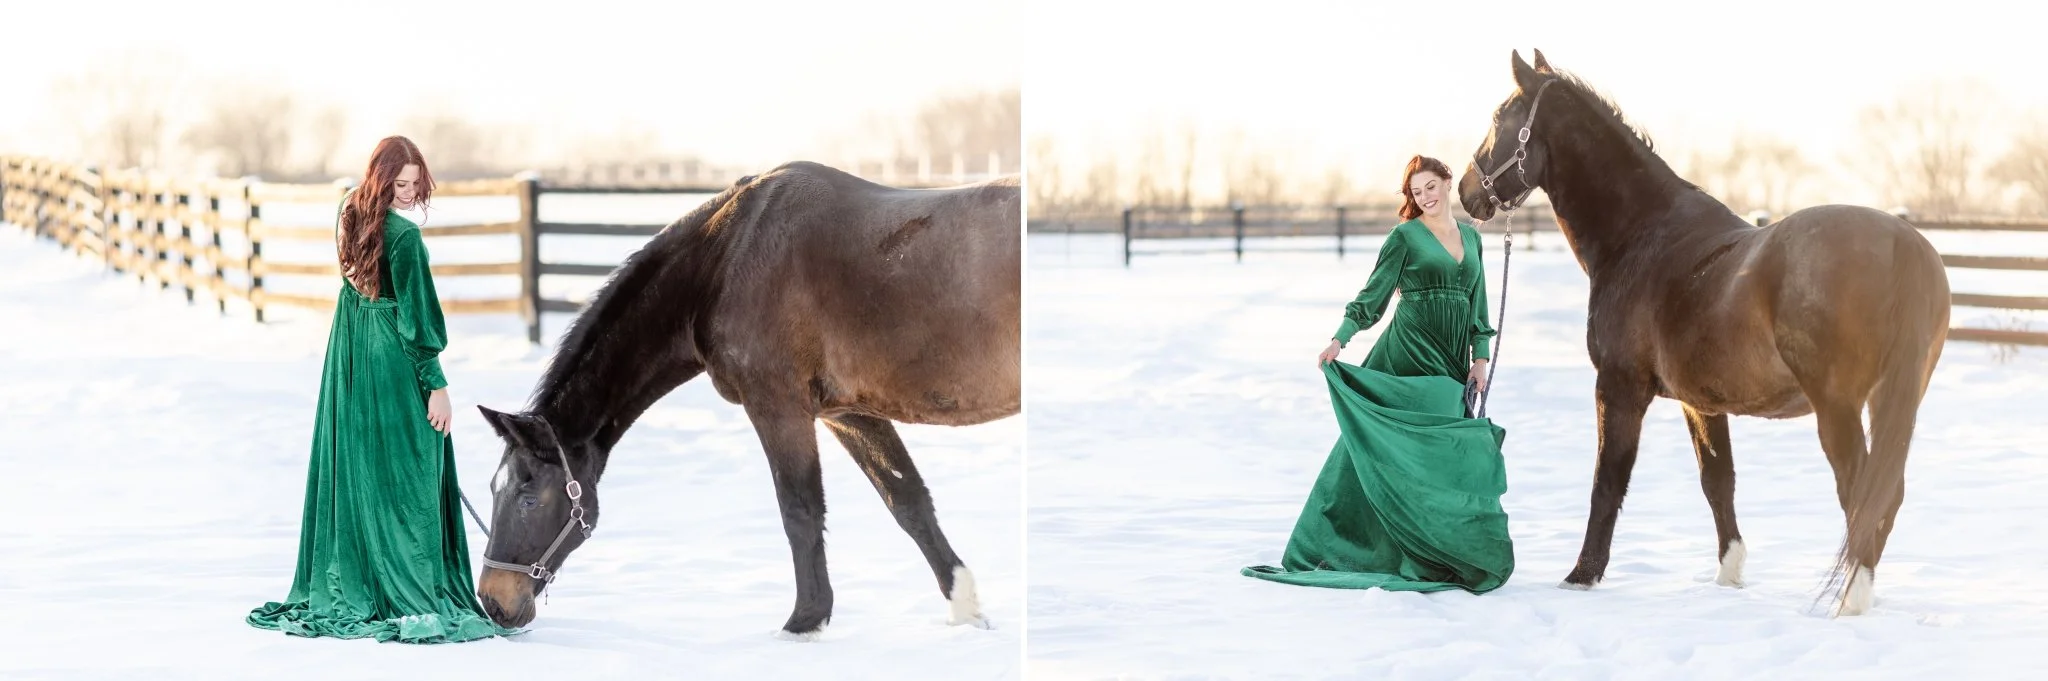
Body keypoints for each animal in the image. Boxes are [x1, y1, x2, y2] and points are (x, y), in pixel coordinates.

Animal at [470, 160, 1020, 639]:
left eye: (527, 496)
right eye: (494, 489)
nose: (494, 602)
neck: (724, 260)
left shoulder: (777, 404)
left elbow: (799, 510)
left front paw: (804, 622)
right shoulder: (849, 413)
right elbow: (907, 501)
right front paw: (966, 611)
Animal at [1458, 49, 1949, 616]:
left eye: (1501, 119)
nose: (1465, 192)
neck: (1643, 235)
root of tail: (1901, 243)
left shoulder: (1619, 388)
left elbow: (1608, 481)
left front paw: (1582, 576)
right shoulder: (1703, 404)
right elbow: (1718, 481)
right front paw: (1729, 576)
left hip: (1837, 406)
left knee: (1862, 490)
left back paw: (1851, 600)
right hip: (1891, 397)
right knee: (1883, 492)